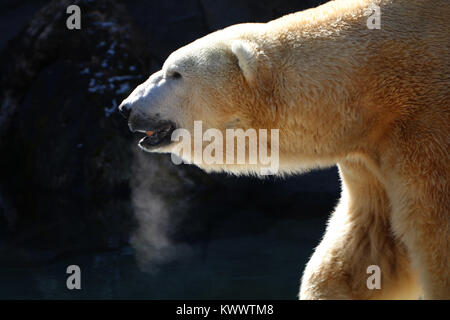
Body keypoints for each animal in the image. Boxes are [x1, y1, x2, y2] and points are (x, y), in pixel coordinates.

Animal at [118, 0, 450, 300]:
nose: (126, 107)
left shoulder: (424, 132)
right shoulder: (369, 153)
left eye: (175, 74)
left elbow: (434, 238)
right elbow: (369, 246)